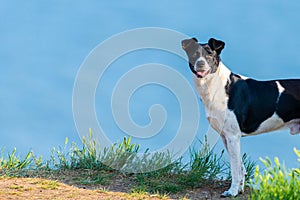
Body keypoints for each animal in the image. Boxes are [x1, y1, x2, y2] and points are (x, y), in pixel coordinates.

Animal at [180, 37, 300, 197]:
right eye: (194, 54)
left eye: (210, 54)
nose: (200, 63)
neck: (217, 86)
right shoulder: (226, 136)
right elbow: (240, 167)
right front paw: (240, 189)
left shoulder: (232, 136)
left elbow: (235, 168)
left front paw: (232, 192)